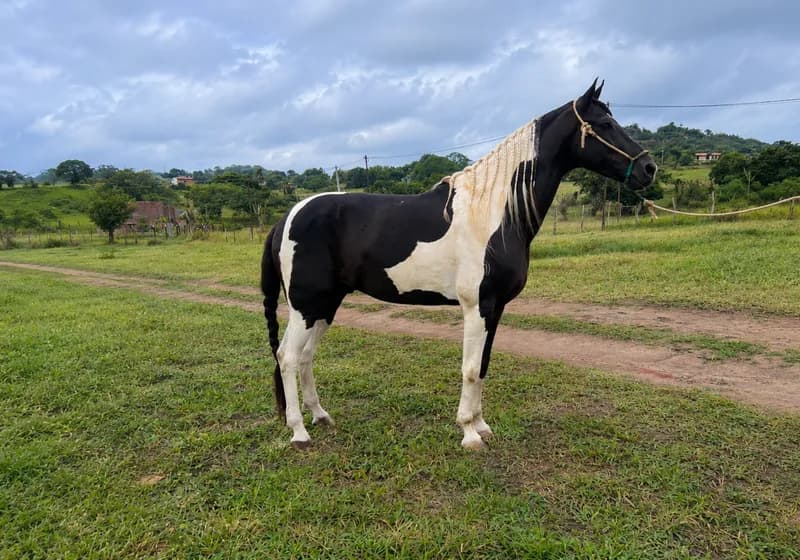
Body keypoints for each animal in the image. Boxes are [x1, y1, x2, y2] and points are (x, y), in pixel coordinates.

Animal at [261, 80, 657, 450]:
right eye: (605, 124)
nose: (649, 168)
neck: (495, 214)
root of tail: (286, 219)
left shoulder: (495, 308)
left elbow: (482, 366)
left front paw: (481, 425)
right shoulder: (476, 306)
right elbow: (469, 368)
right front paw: (468, 433)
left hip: (325, 305)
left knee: (305, 356)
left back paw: (321, 416)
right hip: (306, 305)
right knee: (288, 356)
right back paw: (299, 432)